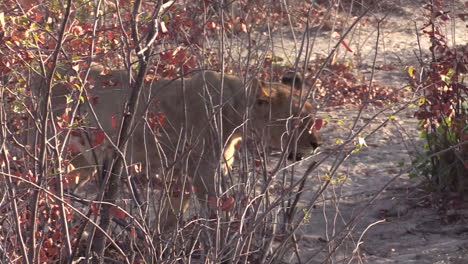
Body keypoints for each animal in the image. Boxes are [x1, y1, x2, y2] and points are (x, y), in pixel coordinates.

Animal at [50, 66, 322, 229]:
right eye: (297, 121)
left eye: (312, 115)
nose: (317, 144)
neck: (234, 111)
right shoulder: (203, 173)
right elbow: (215, 213)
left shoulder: (180, 175)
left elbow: (170, 216)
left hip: (82, 162)